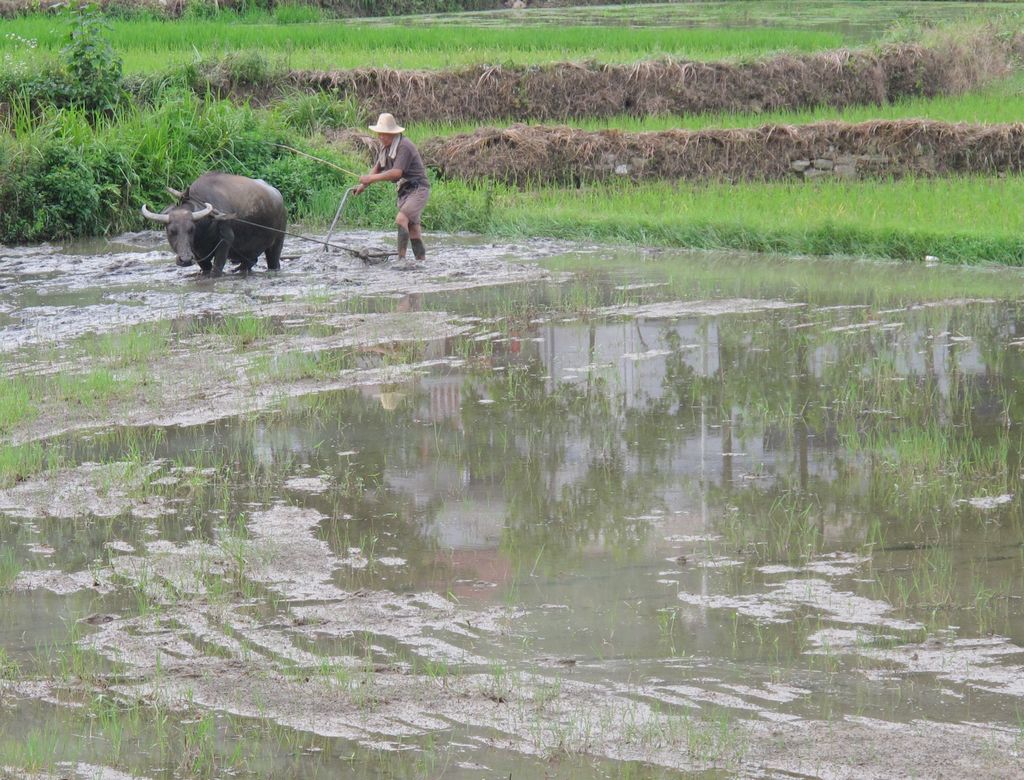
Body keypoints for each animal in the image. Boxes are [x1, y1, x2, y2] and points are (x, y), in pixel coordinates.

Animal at [139, 171, 284, 274]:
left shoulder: (226, 240)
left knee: (273, 262)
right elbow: (206, 268)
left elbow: (217, 268)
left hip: (277, 243)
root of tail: (279, 196)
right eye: (171, 231)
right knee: (250, 262)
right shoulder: (197, 253)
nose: (185, 260)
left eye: (191, 229)